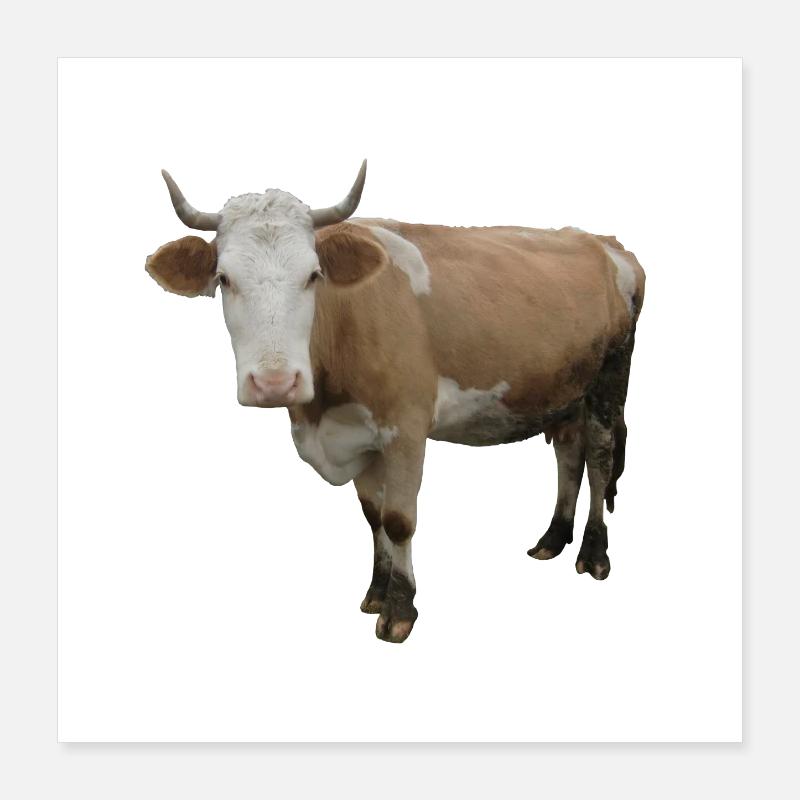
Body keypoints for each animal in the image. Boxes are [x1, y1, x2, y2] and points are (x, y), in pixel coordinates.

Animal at [145, 162, 645, 643]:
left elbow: (400, 520)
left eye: (313, 276)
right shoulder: (357, 435)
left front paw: (400, 611)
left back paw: (594, 554)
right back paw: (553, 539)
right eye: (224, 279)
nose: (274, 382)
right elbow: (374, 518)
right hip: (564, 387)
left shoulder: (406, 428)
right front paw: (376, 592)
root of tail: (605, 243)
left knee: (600, 460)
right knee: (568, 454)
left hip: (610, 377)